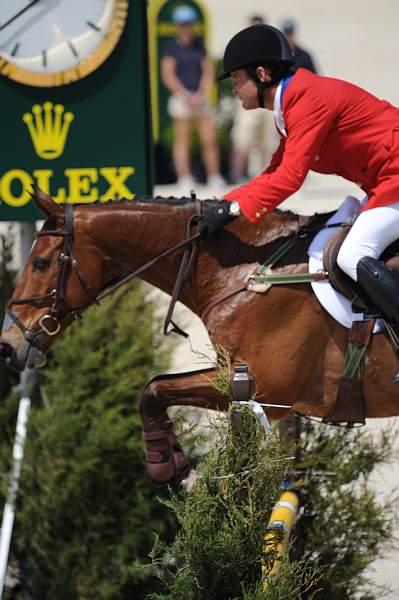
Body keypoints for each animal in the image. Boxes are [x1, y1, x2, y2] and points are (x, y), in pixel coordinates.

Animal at [2, 190, 399, 486]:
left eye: (40, 263)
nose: (8, 346)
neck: (242, 271)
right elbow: (157, 386)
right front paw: (170, 456)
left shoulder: (266, 388)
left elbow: (154, 389)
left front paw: (164, 462)